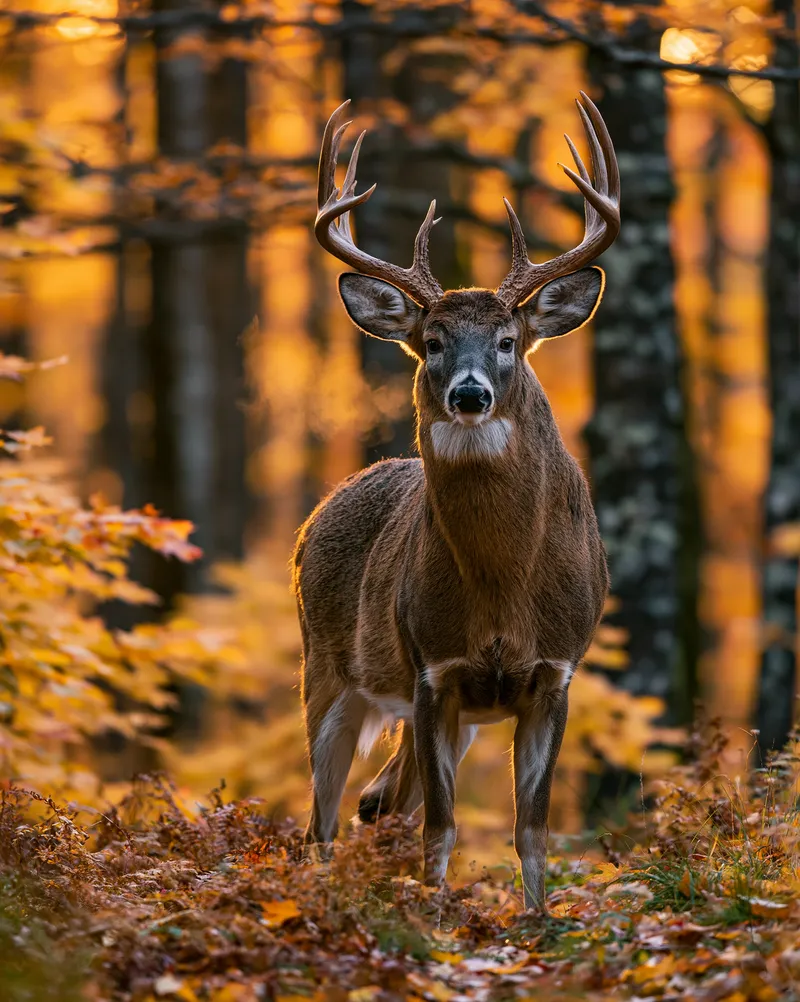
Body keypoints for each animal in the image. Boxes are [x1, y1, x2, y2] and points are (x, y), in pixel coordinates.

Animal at [293, 93, 620, 910]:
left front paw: (537, 921)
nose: (468, 394)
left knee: (379, 801)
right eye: (433, 340)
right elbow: (440, 828)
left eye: (507, 340)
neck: (502, 587)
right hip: (327, 671)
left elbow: (530, 829)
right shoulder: (431, 668)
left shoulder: (554, 672)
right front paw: (435, 922)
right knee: (324, 817)